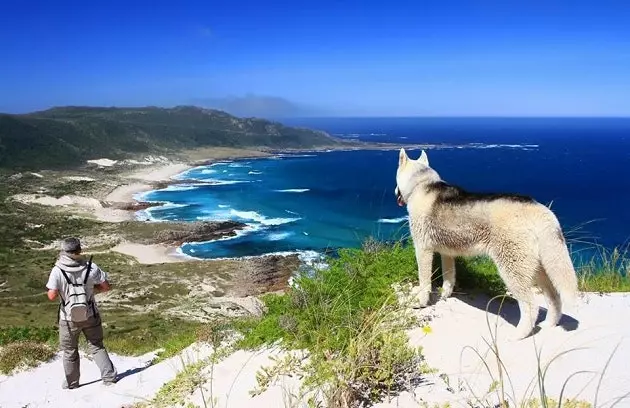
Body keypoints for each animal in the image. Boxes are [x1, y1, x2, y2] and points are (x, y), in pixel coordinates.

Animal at [398, 148, 580, 340]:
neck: (421, 184)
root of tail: (540, 210)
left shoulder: (423, 249)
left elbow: (424, 282)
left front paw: (421, 302)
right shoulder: (447, 253)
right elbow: (449, 278)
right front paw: (444, 296)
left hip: (513, 270)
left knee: (531, 305)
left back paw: (519, 334)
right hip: (538, 269)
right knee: (554, 298)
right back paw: (549, 324)